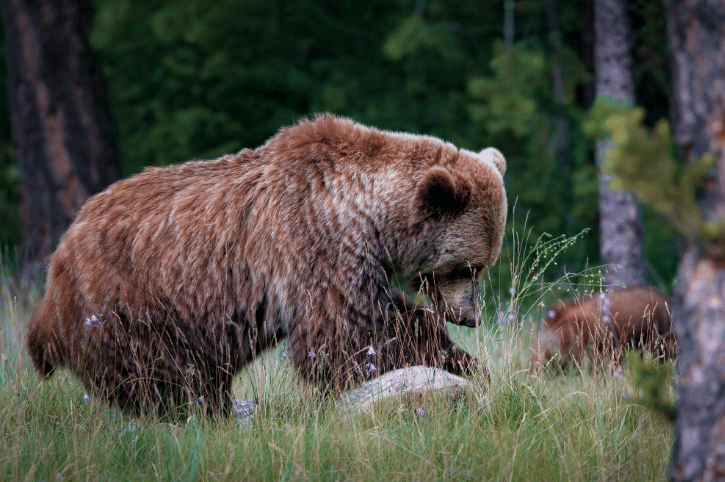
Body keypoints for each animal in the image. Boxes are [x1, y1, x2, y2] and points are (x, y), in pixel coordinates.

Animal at [26, 114, 507, 418]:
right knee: (162, 371)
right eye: (469, 267)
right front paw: (459, 362)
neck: (368, 215)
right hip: (132, 300)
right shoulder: (314, 241)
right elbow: (350, 331)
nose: (471, 316)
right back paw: (197, 409)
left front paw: (466, 362)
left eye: (483, 265)